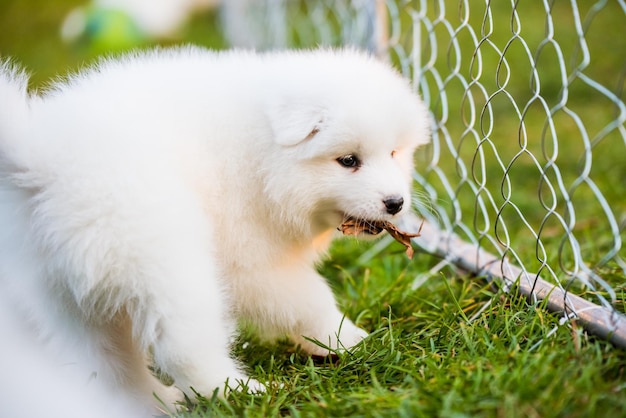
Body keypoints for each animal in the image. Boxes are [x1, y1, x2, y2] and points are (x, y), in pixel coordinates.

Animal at [0, 47, 428, 414]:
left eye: (393, 152)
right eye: (348, 161)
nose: (395, 203)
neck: (262, 154)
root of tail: (39, 165)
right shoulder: (252, 263)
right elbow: (308, 299)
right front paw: (350, 339)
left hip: (65, 298)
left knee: (106, 365)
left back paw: (157, 402)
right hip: (166, 261)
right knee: (187, 348)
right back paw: (247, 392)